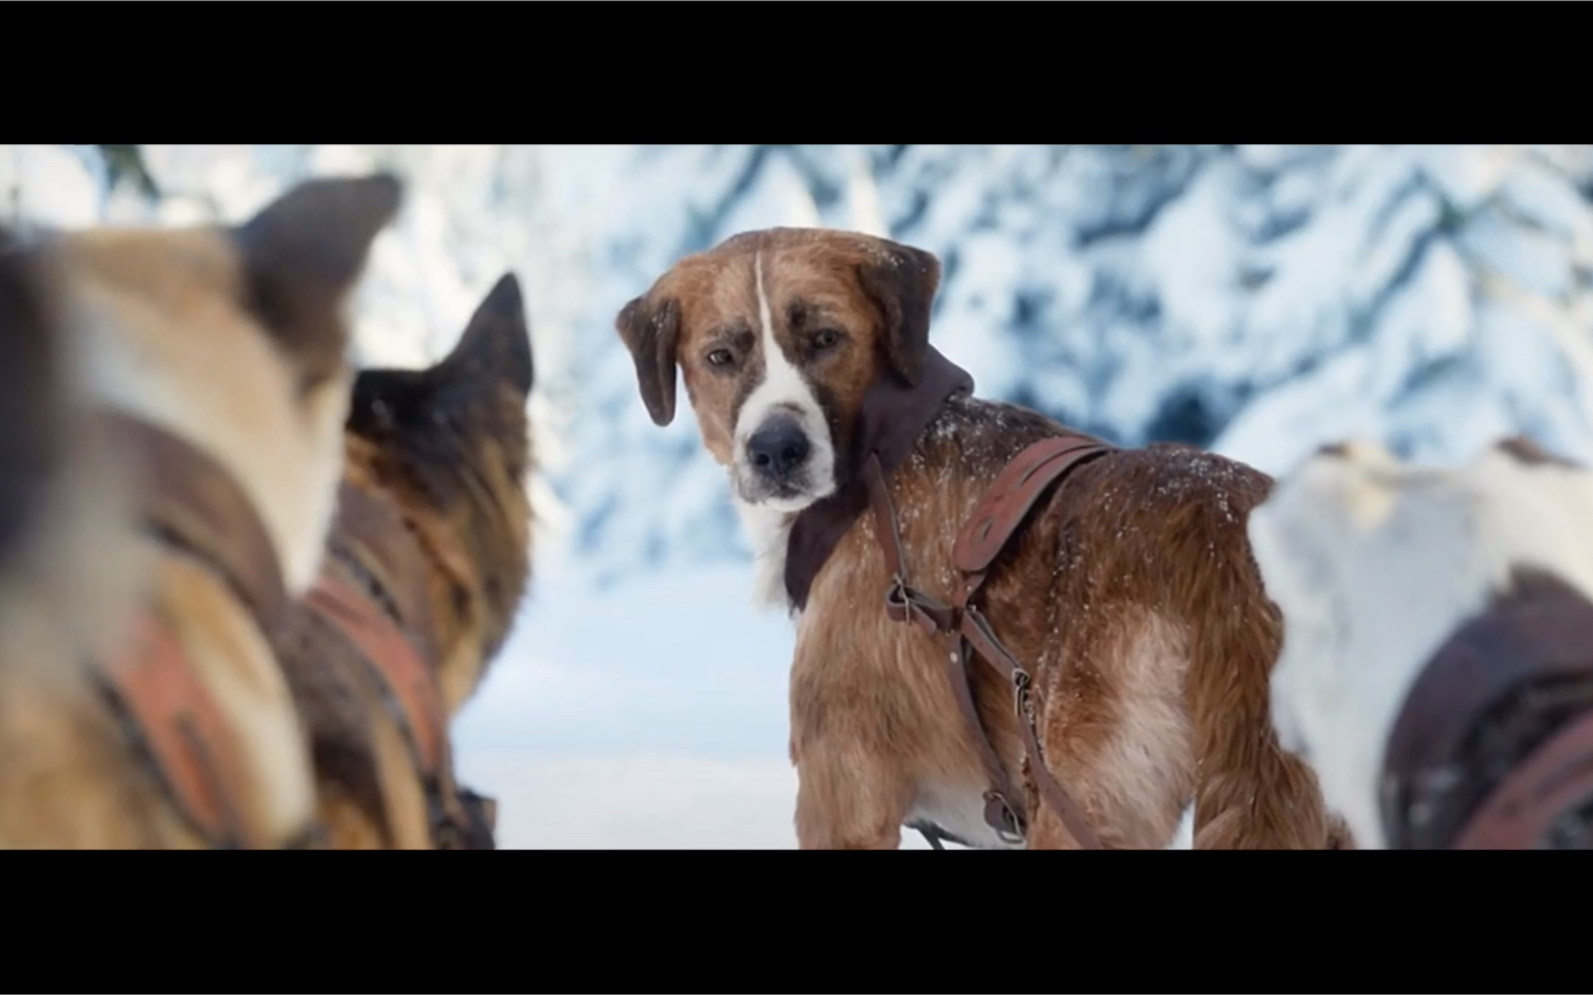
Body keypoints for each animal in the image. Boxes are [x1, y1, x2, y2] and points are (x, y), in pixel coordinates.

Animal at [614, 227, 1350, 846]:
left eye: (825, 338)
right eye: (720, 356)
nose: (775, 450)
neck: (879, 453)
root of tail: (1219, 526)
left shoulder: (840, 793)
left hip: (1082, 798)